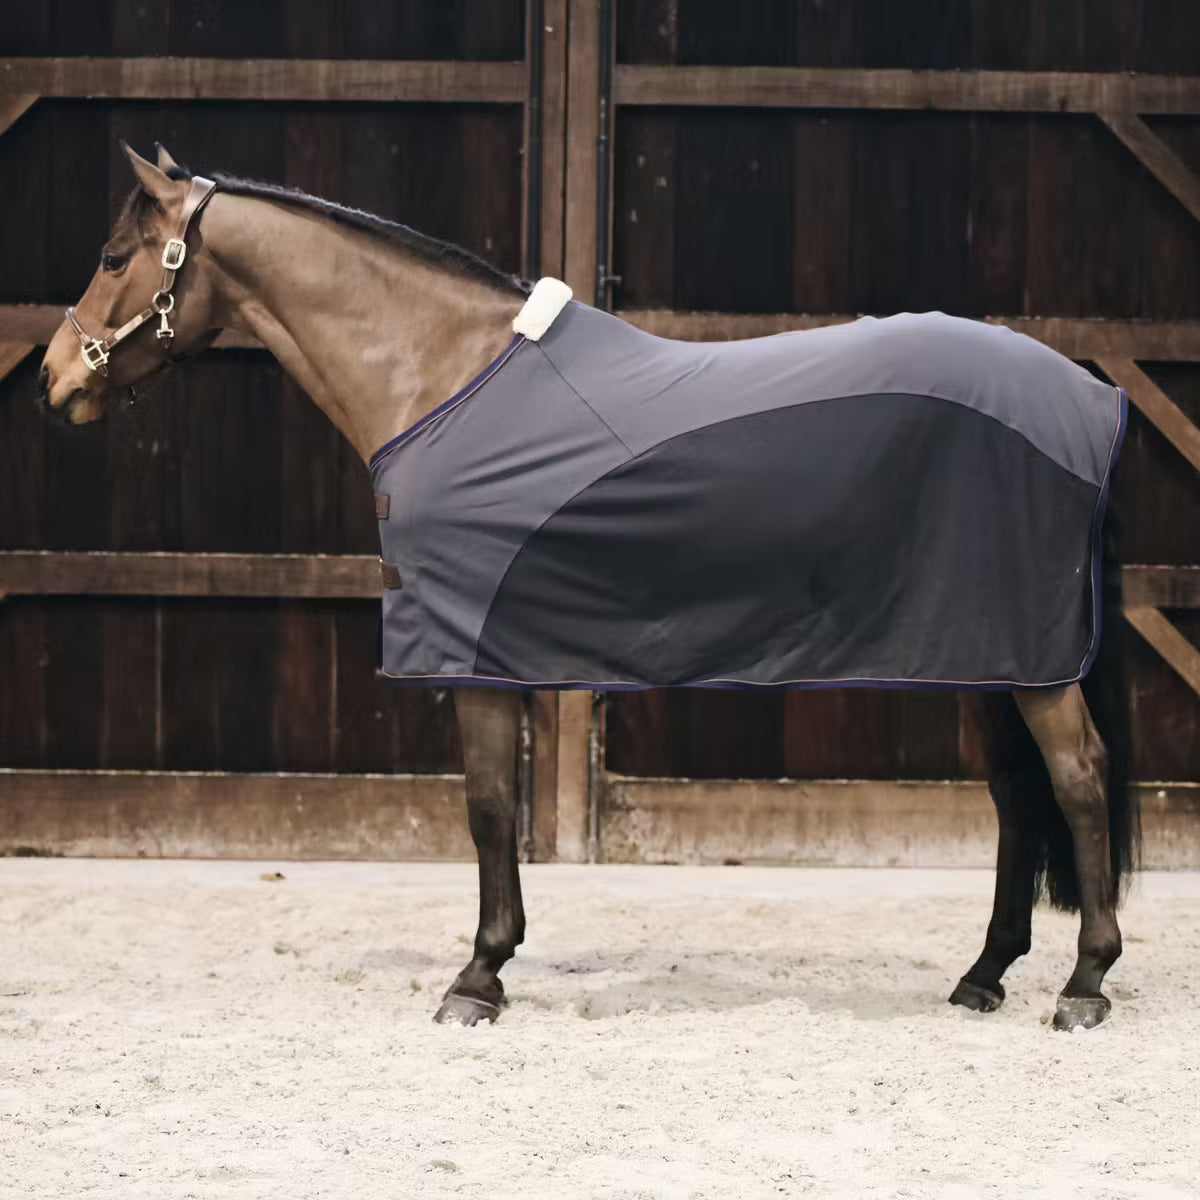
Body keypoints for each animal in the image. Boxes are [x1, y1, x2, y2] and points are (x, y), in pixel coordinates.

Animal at [38, 142, 1140, 1032]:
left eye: (113, 258)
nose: (53, 377)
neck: (447, 378)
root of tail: (1088, 393)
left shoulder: (471, 651)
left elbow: (487, 807)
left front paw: (476, 979)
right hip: (983, 648)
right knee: (1015, 795)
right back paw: (985, 974)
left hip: (1030, 662)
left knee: (1078, 778)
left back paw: (1084, 985)